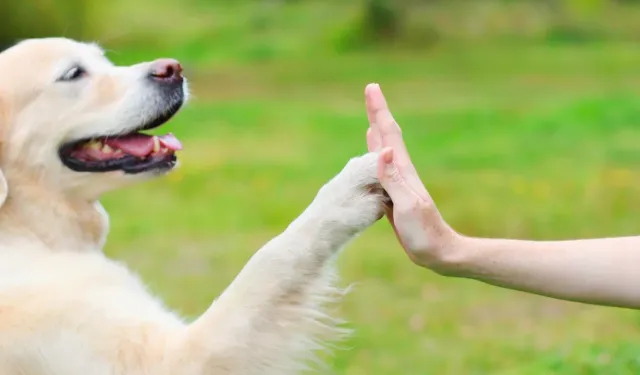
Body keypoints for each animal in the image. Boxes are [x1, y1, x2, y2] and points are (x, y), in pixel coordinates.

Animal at [0, 36, 388, 374]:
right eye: (73, 73)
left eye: (104, 60)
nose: (172, 68)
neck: (29, 228)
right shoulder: (172, 359)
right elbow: (271, 260)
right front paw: (348, 191)